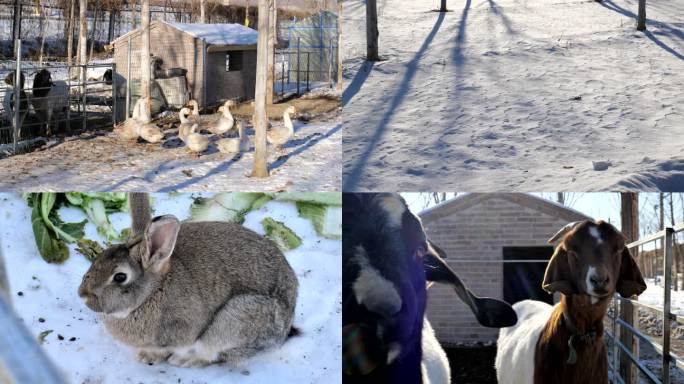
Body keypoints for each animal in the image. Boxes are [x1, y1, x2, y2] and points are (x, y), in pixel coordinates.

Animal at [77, 194, 296, 368]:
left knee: (211, 353)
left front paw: (149, 357)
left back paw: (185, 361)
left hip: (236, 319)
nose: (82, 294)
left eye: (120, 276)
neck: (153, 292)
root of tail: (285, 330)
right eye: (101, 257)